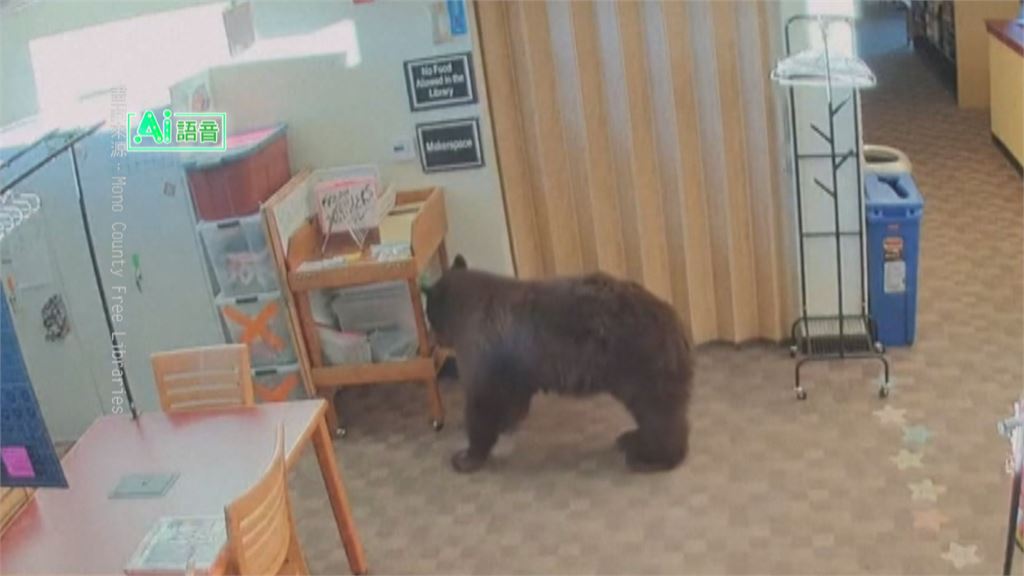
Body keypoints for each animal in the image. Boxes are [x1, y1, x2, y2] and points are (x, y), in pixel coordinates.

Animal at [425, 255, 693, 474]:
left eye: (429, 315)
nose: (434, 340)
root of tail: (673, 318)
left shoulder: (486, 353)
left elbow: (482, 403)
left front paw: (466, 456)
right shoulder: (516, 368)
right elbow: (512, 398)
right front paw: (508, 423)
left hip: (639, 364)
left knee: (657, 413)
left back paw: (651, 458)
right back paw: (632, 438)